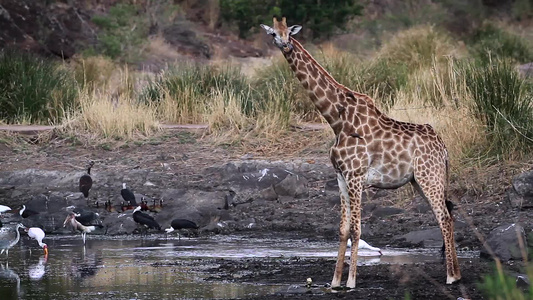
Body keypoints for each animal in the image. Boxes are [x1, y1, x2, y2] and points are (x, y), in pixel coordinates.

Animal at [260, 18, 460, 288]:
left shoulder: (356, 176)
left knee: (445, 218)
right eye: (273, 34)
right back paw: (456, 274)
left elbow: (356, 230)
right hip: (420, 180)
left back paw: (451, 277)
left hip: (430, 176)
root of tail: (444, 148)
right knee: (446, 216)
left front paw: (351, 282)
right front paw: (335, 282)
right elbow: (343, 229)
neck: (337, 120)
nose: (285, 45)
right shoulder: (341, 177)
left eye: (289, 33)